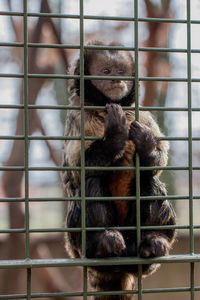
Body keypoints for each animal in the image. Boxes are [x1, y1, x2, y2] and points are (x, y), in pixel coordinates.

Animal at [61, 40, 176, 300]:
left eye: (121, 71)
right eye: (106, 71)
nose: (116, 79)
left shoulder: (141, 114)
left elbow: (158, 162)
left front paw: (146, 145)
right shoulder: (76, 117)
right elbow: (74, 173)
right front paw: (114, 137)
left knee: (148, 180)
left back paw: (155, 240)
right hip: (74, 245)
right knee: (92, 182)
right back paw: (103, 242)